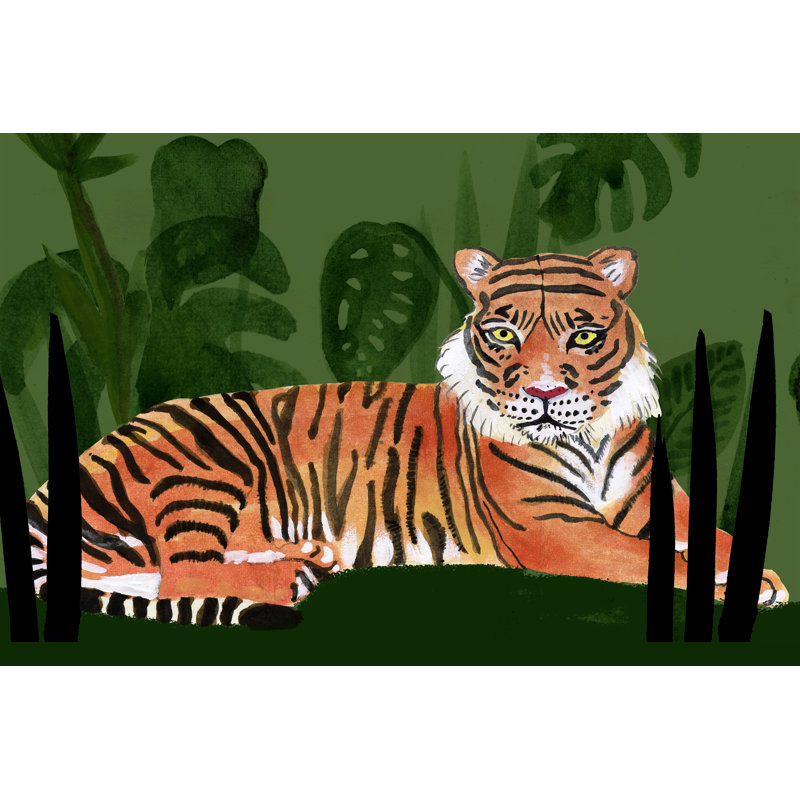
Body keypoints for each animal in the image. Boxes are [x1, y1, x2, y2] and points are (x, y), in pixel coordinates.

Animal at [26, 246, 788, 628]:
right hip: (208, 463)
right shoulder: (557, 530)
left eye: (583, 335)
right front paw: (742, 586)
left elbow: (705, 534)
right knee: (180, 569)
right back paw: (285, 581)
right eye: (504, 334)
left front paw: (760, 574)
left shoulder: (653, 500)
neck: (590, 436)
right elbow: (648, 559)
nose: (544, 395)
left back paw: (301, 558)